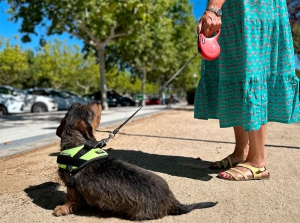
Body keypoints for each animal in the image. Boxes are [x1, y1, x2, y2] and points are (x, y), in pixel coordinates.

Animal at [53, 102, 216, 220]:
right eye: (78, 106)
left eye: (87, 109)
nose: (99, 101)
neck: (77, 143)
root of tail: (173, 201)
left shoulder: (70, 184)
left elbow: (71, 198)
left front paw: (62, 208)